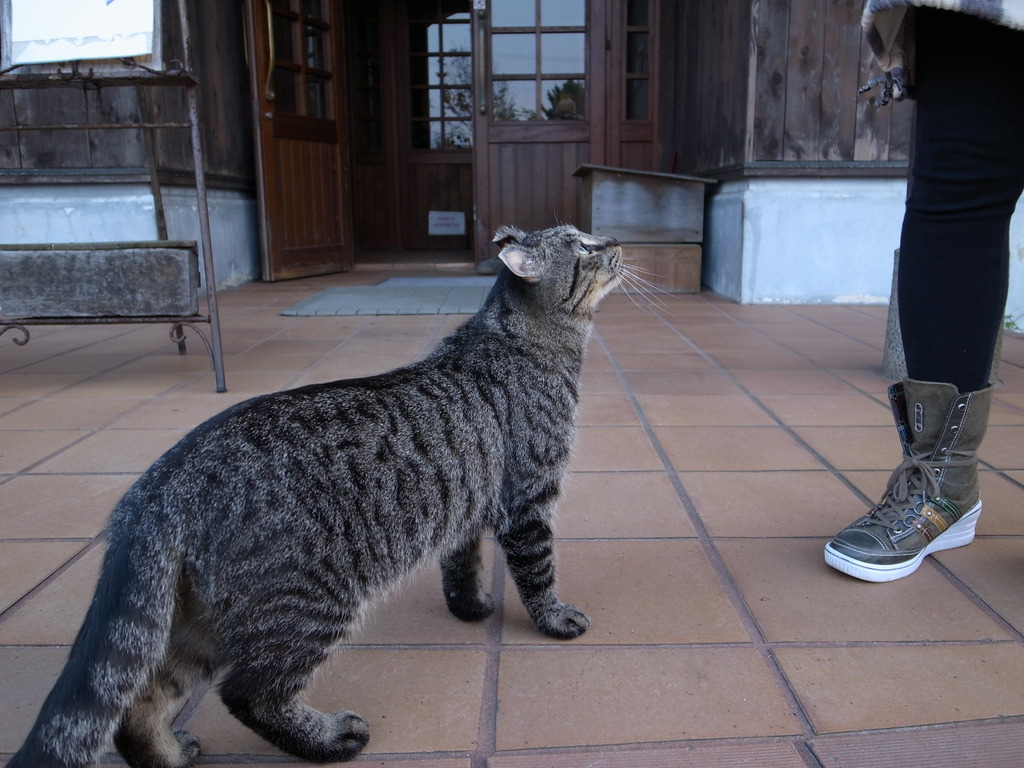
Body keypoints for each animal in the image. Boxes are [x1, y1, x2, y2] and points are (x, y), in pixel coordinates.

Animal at [8, 224, 622, 768]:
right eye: (584, 246)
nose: (615, 241)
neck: (520, 341)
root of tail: (158, 487)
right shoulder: (528, 500)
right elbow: (537, 571)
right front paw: (553, 619)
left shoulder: (467, 504)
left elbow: (460, 564)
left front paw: (468, 606)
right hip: (308, 603)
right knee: (248, 694)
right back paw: (328, 740)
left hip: (197, 624)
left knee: (138, 703)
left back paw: (167, 755)